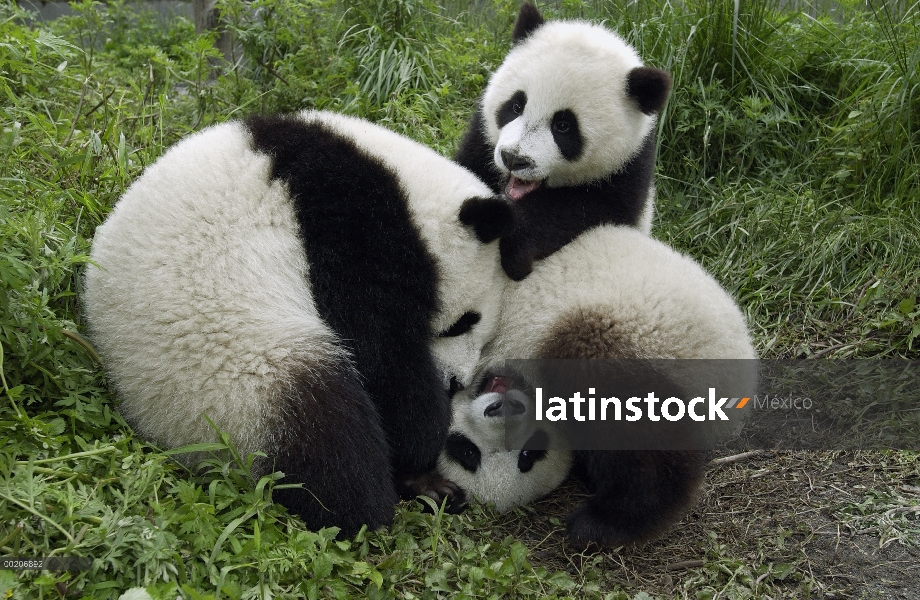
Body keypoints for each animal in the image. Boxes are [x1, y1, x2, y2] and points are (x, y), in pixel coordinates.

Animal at [84, 110, 516, 536]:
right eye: (464, 322)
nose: (456, 382)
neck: (405, 187)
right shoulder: (348, 226)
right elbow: (381, 350)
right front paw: (423, 440)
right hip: (234, 380)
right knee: (325, 432)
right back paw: (369, 503)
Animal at [456, 2, 672, 282]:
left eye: (563, 126)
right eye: (516, 106)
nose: (514, 159)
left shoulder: (629, 171)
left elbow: (579, 211)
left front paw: (514, 244)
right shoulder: (481, 139)